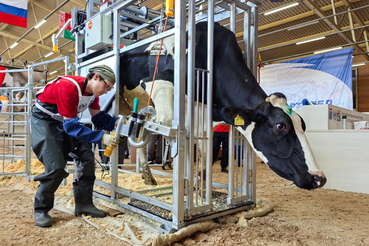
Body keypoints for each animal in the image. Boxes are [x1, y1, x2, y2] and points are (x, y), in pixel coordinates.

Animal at [118, 21, 324, 190]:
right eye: (281, 126)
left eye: (303, 124)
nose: (319, 178)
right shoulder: (157, 82)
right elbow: (170, 131)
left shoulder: (205, 118)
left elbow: (203, 159)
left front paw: (198, 189)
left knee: (138, 133)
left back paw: (147, 177)